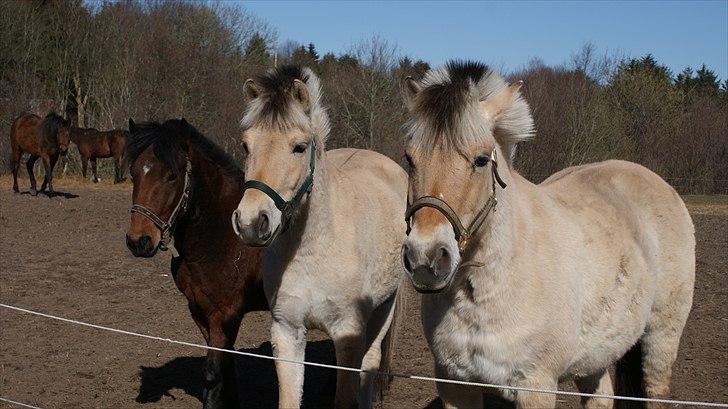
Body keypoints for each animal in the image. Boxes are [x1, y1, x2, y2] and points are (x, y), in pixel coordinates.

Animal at [125, 116, 268, 406]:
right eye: (133, 173)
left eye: (172, 175)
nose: (139, 241)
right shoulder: (200, 311)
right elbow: (227, 368)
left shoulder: (224, 315)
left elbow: (213, 373)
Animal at [230, 65, 406, 406]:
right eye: (246, 145)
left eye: (299, 147)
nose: (251, 222)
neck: (313, 249)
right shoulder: (286, 332)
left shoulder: (349, 334)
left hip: (384, 308)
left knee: (371, 363)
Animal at [400, 59, 696, 408]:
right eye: (409, 158)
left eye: (481, 160)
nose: (425, 257)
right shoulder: (454, 384)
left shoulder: (536, 386)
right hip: (596, 355)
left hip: (661, 338)